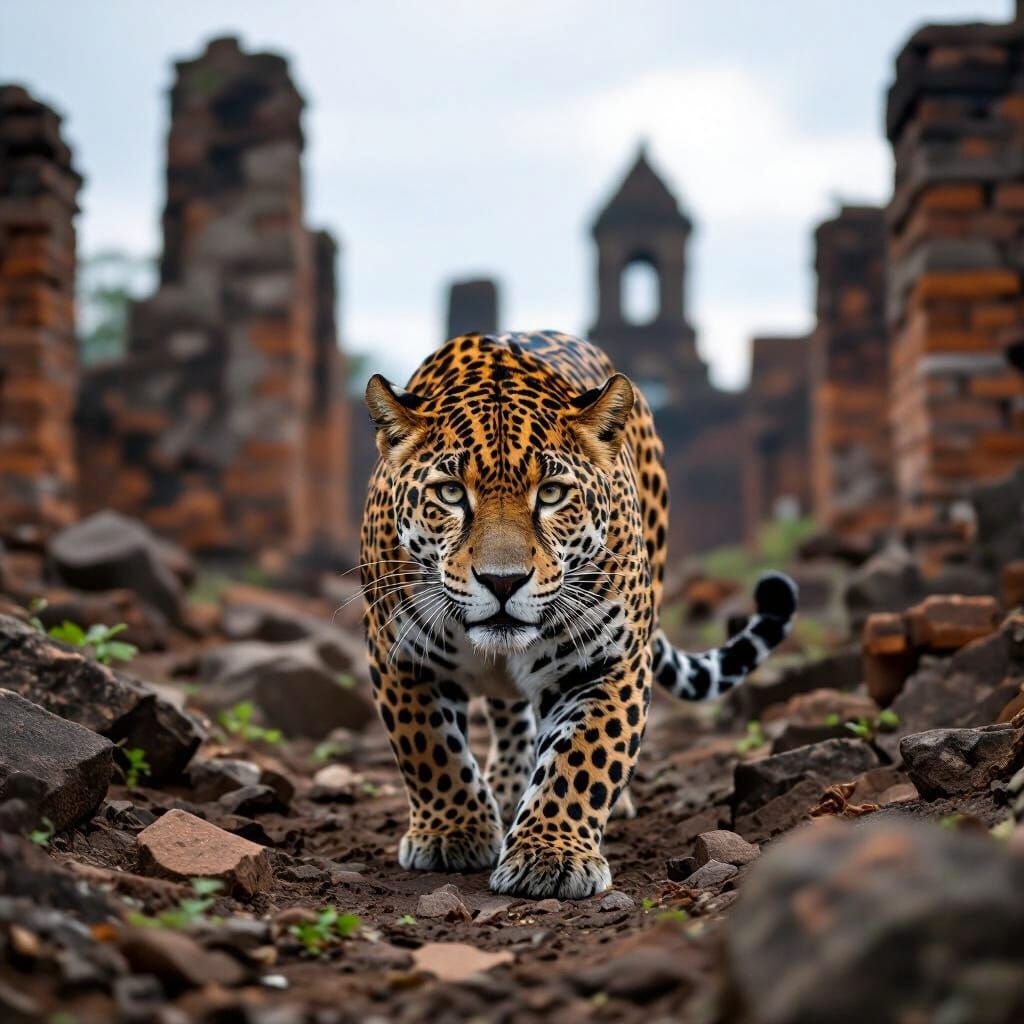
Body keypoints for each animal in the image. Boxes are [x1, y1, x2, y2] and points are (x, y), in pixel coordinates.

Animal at [359, 330, 797, 900]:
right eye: (451, 493)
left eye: (551, 493)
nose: (503, 581)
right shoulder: (400, 655)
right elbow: (429, 749)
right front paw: (453, 834)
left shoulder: (607, 662)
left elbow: (582, 759)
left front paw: (550, 856)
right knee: (507, 712)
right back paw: (505, 786)